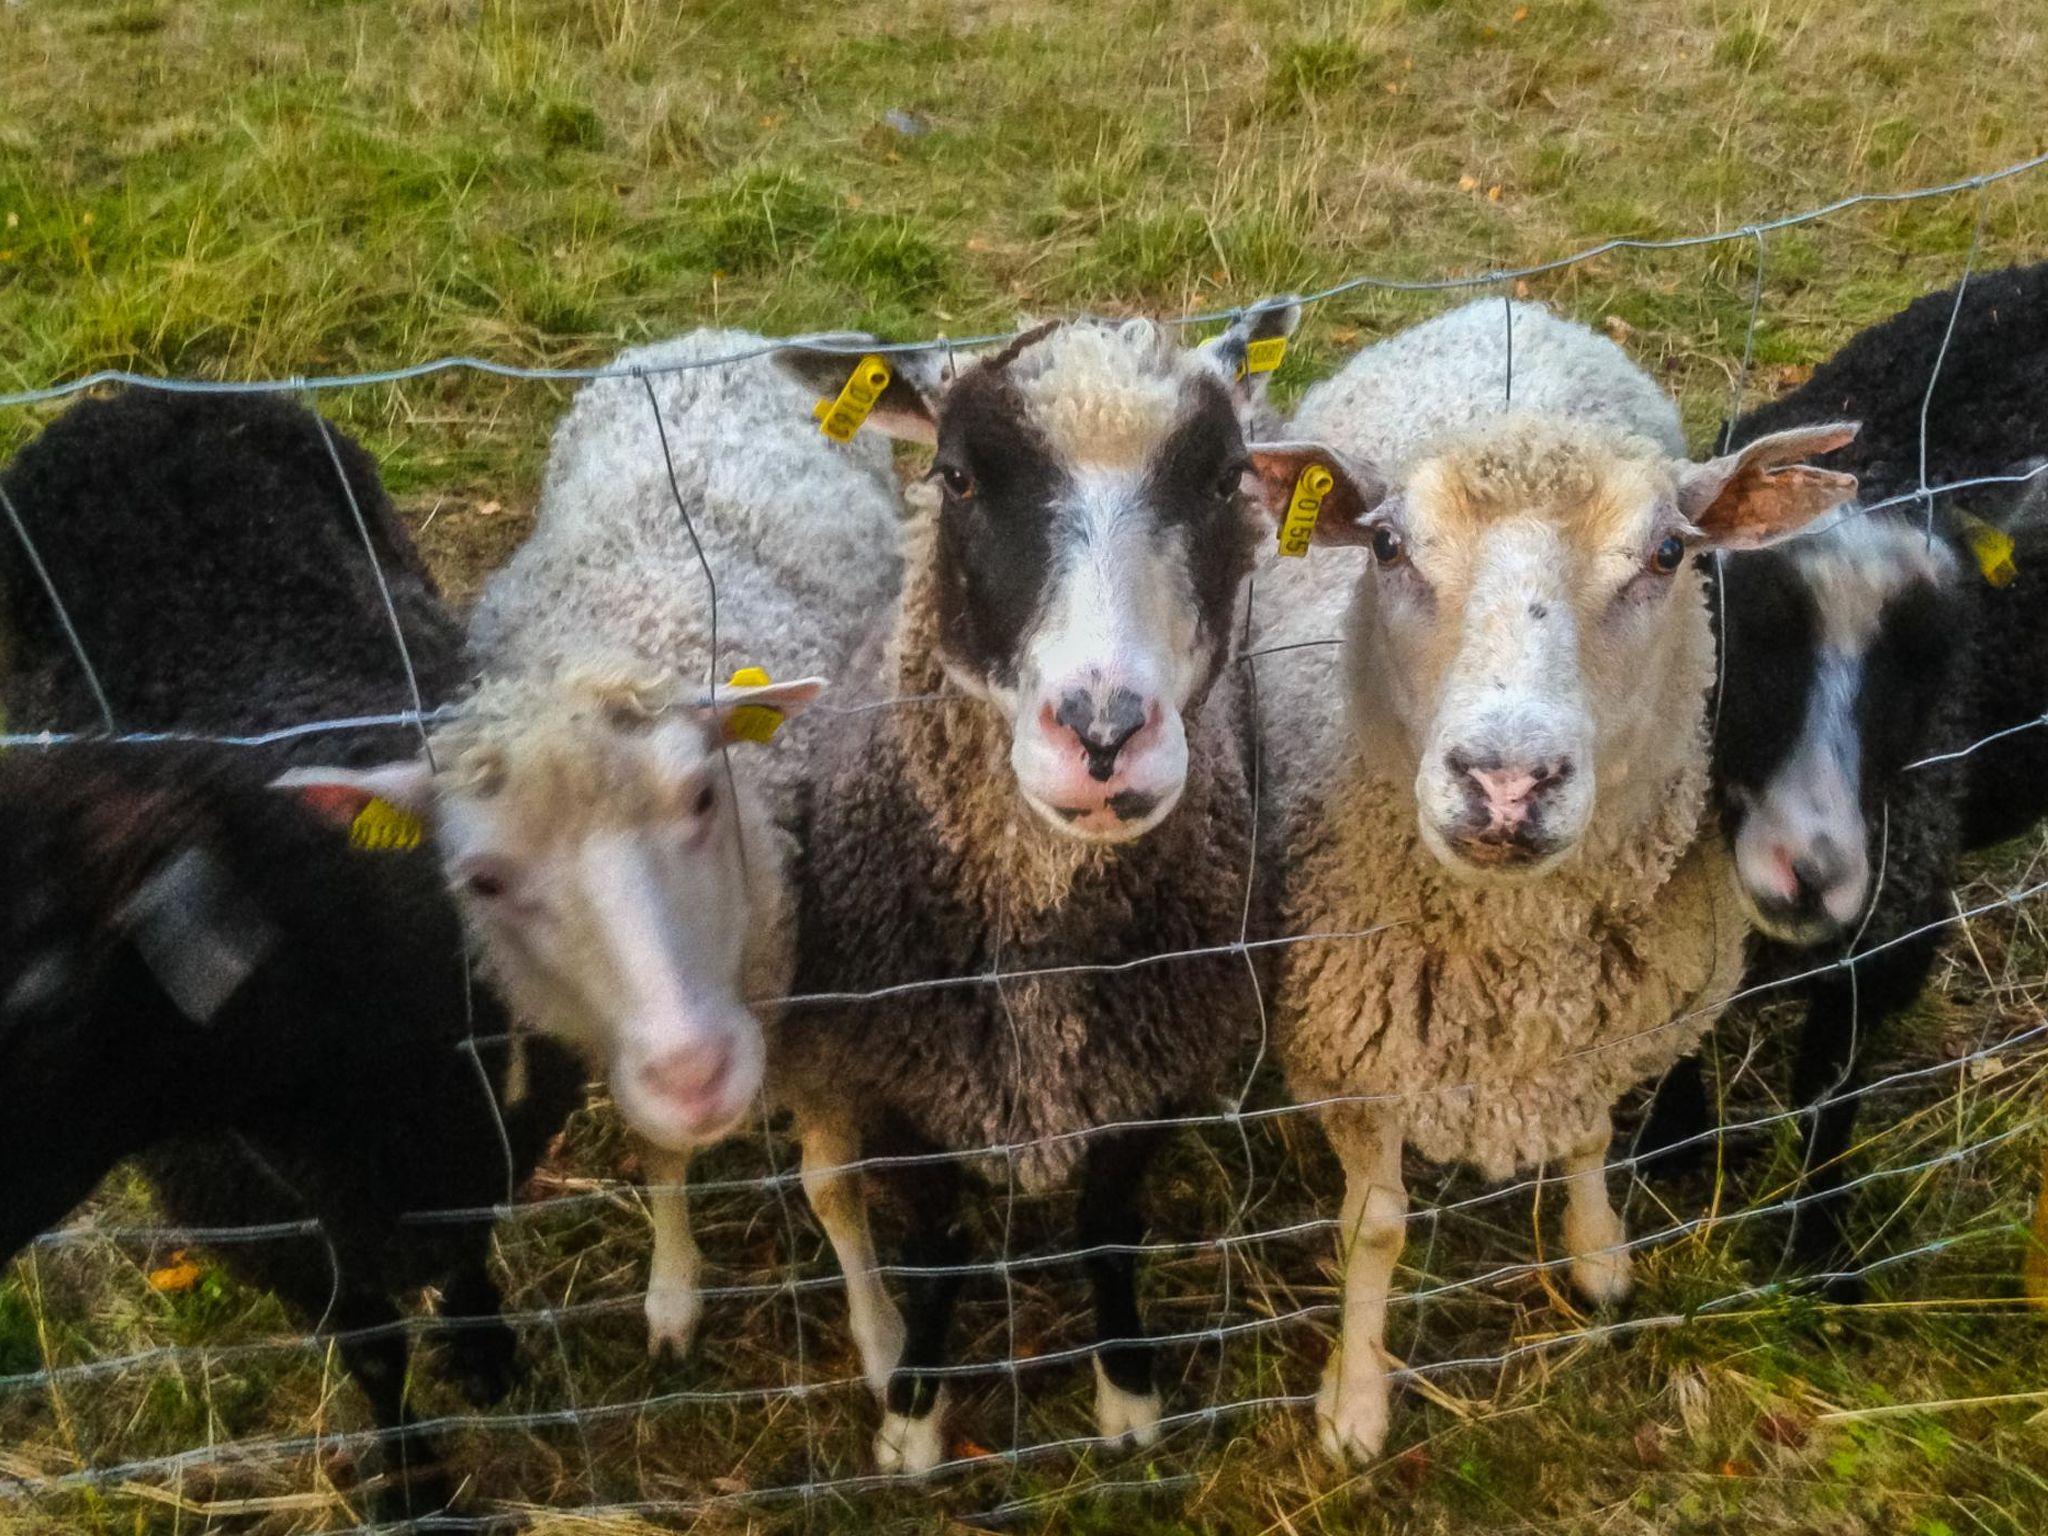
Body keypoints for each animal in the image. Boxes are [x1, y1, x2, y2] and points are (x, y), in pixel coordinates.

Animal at [0, 391, 585, 1523]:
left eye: (39, 995)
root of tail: (125, 404)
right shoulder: (293, 1245)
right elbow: (372, 1354)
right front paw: (412, 1486)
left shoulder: (487, 1145)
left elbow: (465, 1251)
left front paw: (482, 1351)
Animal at [276, 333, 901, 1359]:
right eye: (482, 881)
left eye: (703, 796)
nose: (696, 1076)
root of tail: (701, 337)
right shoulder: (610, 1035)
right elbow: (658, 1153)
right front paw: (673, 1293)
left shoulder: (825, 1003)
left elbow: (831, 1187)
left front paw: (886, 1343)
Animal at [774, 303, 1302, 1482]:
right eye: (959, 477)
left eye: (1226, 478)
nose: (1103, 734)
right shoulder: (902, 1082)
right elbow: (936, 1250)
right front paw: (915, 1415)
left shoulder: (1149, 1079)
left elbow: (1107, 1229)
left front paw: (1128, 1394)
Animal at [1253, 301, 1867, 1466]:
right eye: (1387, 545)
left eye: (1669, 552)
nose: (1504, 781)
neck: (1516, 970)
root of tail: (1503, 309)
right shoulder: (1346, 1058)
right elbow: (1374, 1228)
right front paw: (1355, 1403)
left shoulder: (1608, 1027)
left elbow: (1588, 1137)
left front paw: (1597, 1258)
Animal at [1638, 262, 2048, 1302]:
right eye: (1739, 625)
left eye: (1933, 656)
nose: (1811, 875)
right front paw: (1674, 1147)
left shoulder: (1890, 928)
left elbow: (1831, 1099)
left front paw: (1818, 1258)